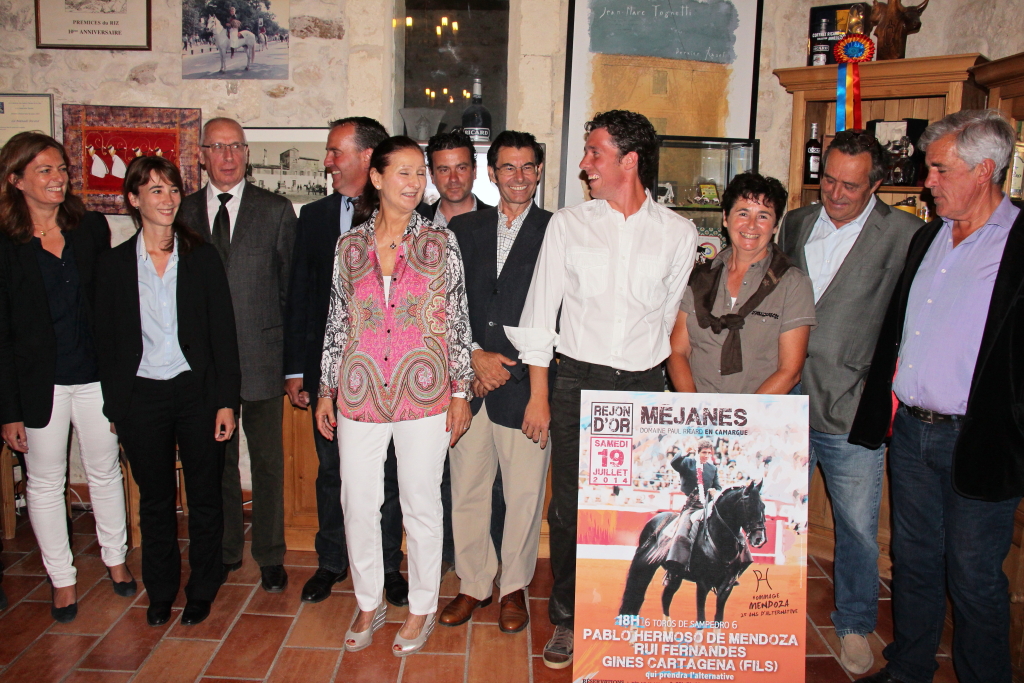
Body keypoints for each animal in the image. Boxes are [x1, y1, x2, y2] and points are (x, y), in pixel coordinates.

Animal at [618, 481, 765, 626]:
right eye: (749, 506)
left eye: (763, 506)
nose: (759, 538)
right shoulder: (703, 583)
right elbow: (701, 619)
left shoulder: (727, 585)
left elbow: (718, 619)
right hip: (646, 566)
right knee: (638, 593)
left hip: (675, 575)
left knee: (665, 599)